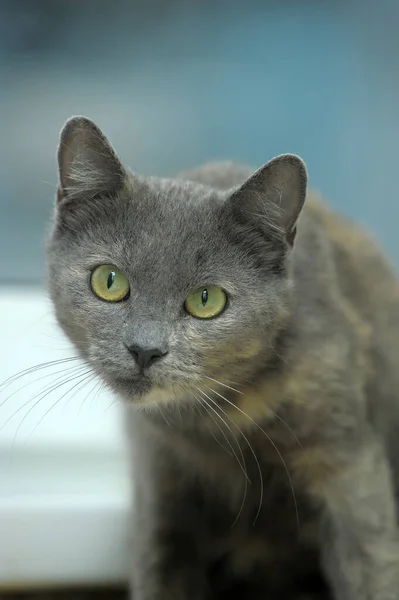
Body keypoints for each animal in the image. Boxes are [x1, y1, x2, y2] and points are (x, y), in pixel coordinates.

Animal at [47, 117, 399, 600]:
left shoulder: (350, 466)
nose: (145, 349)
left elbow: (372, 566)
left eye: (206, 300)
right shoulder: (161, 487)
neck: (217, 422)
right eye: (109, 281)